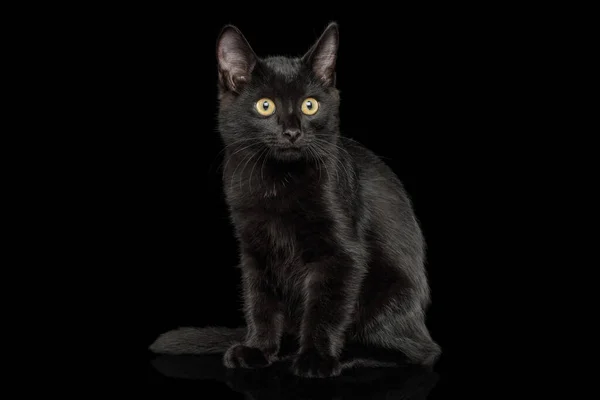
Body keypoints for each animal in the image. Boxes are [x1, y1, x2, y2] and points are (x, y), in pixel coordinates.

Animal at [150, 21, 440, 378]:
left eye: (309, 105)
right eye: (265, 106)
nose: (291, 132)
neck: (277, 183)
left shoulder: (342, 254)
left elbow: (325, 308)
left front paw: (315, 358)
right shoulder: (255, 248)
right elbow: (260, 301)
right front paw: (258, 349)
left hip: (392, 294)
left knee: (416, 352)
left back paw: (338, 355)